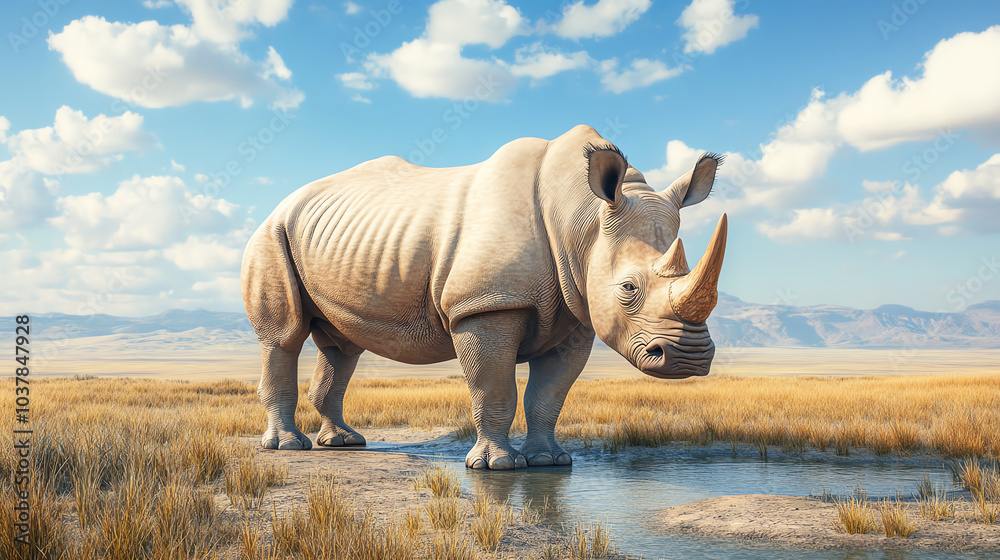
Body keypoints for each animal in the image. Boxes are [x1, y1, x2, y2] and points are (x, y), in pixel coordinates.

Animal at [241, 125, 727, 470]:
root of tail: (284, 202)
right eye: (628, 288)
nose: (689, 359)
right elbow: (494, 387)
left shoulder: (577, 314)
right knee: (283, 337)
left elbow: (549, 394)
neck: (582, 218)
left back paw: (344, 443)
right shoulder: (485, 304)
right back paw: (288, 448)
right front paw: (495, 467)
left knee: (341, 345)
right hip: (271, 234)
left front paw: (550, 461)